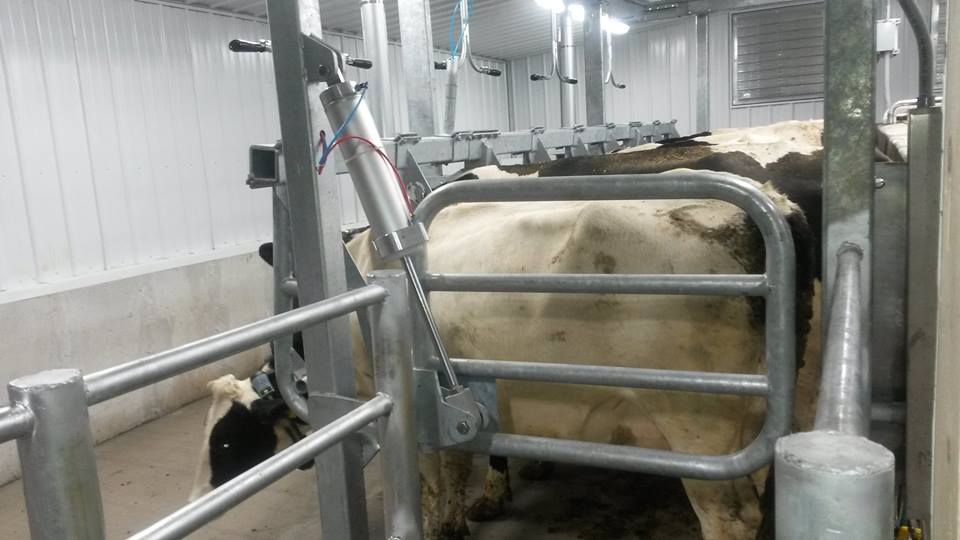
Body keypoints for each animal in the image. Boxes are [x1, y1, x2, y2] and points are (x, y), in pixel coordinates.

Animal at [192, 120, 829, 540]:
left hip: (701, 427)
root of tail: (771, 207)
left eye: (225, 442)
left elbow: (436, 477)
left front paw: (450, 520)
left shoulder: (420, 399)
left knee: (731, 516)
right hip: (759, 418)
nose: (198, 495)